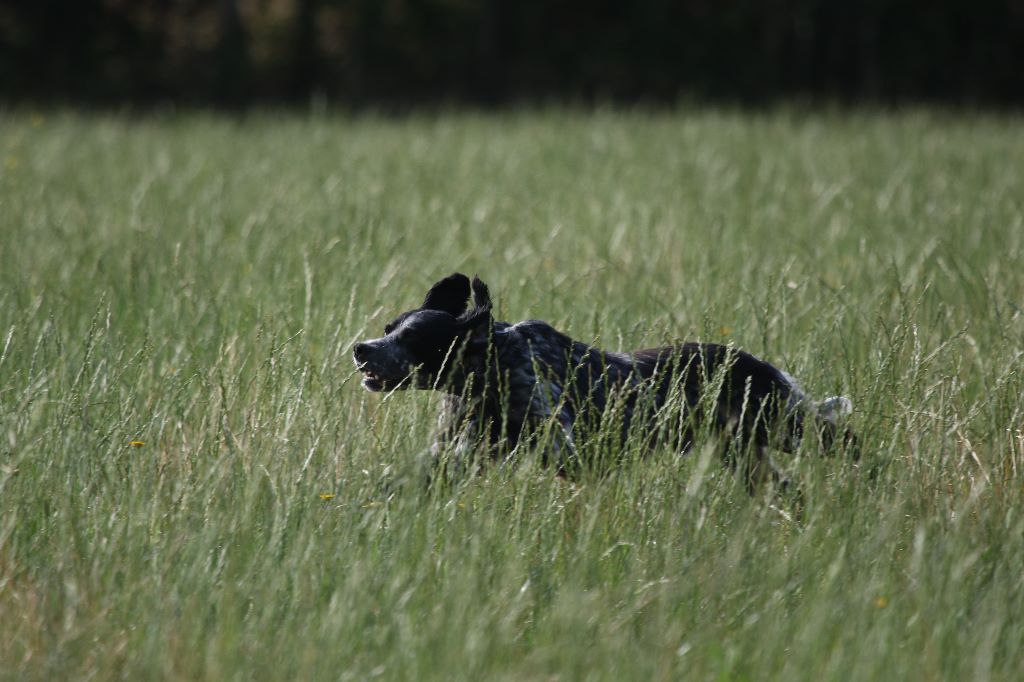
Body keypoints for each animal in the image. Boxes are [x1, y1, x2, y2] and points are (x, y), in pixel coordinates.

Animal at [352, 270, 856, 489]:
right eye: (388, 328)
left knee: (846, 438)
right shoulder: (455, 451)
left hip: (787, 425)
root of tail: (759, 364)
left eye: (413, 336)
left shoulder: (568, 450)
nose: (360, 348)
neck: (491, 371)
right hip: (744, 452)